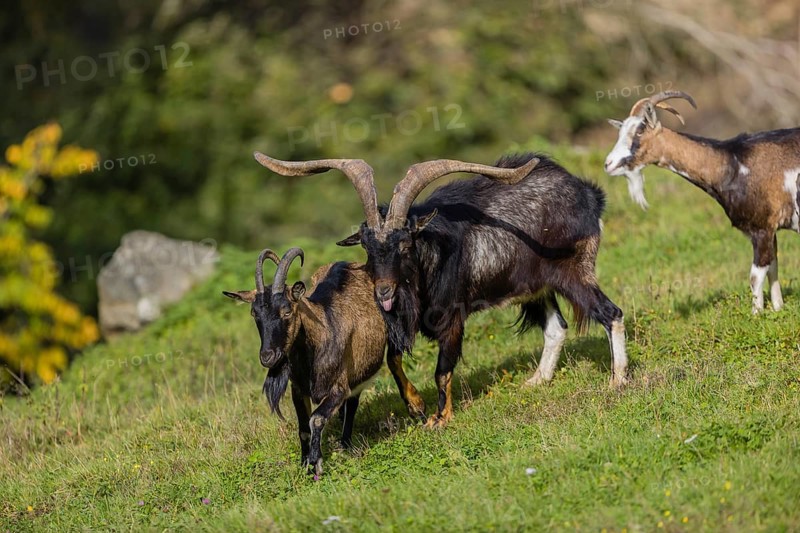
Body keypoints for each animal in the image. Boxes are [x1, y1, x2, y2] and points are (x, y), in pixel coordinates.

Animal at [223, 247, 406, 475]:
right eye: (254, 313)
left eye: (287, 311)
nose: (268, 356)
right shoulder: (298, 390)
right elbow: (303, 428)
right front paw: (304, 465)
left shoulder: (338, 387)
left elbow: (316, 419)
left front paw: (316, 462)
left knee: (353, 403)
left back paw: (345, 444)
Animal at [254, 151, 629, 428]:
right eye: (366, 246)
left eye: (405, 244)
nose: (383, 292)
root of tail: (587, 194)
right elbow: (392, 358)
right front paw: (416, 406)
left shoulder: (452, 316)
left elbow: (442, 369)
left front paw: (441, 416)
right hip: (537, 287)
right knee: (556, 328)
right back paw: (537, 381)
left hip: (573, 272)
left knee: (611, 313)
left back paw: (618, 381)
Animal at [604, 90, 800, 313]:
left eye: (639, 132)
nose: (608, 164)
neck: (732, 162)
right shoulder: (768, 230)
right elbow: (773, 267)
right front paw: (778, 308)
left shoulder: (762, 228)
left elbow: (755, 276)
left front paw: (757, 314)